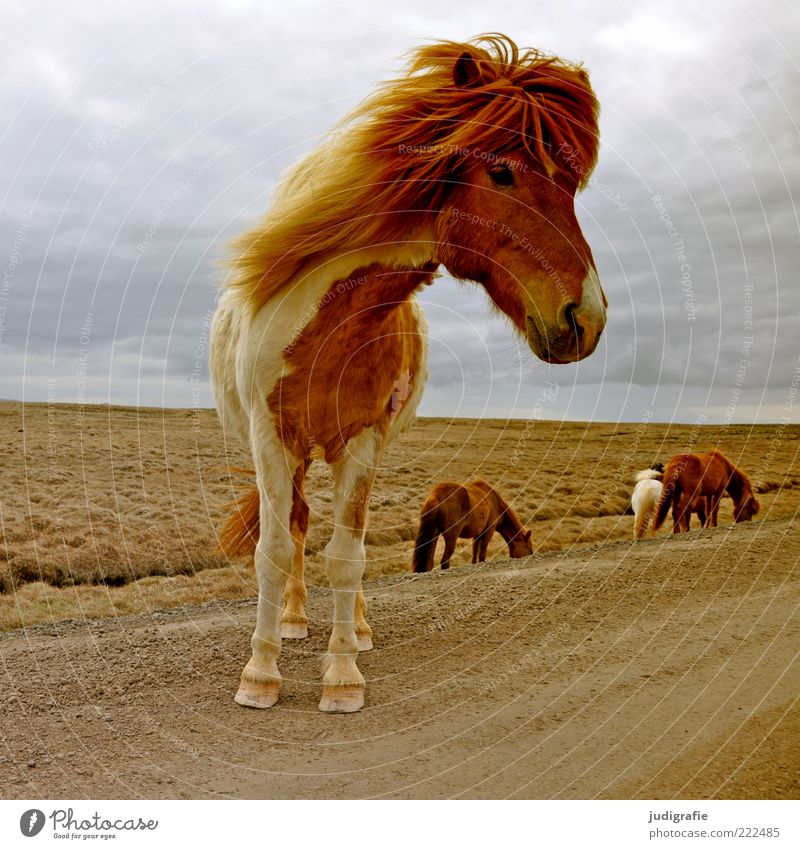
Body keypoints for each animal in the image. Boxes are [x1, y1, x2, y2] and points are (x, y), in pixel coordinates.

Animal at [209, 33, 604, 712]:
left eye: (573, 187)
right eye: (502, 171)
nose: (588, 317)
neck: (334, 328)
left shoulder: (364, 440)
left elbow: (348, 554)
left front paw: (343, 674)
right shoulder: (270, 436)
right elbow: (275, 549)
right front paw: (260, 672)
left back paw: (357, 627)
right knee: (298, 528)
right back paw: (293, 621)